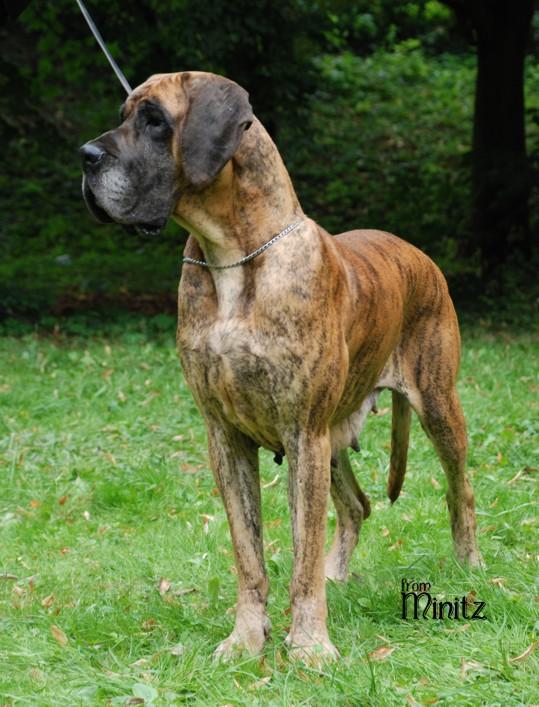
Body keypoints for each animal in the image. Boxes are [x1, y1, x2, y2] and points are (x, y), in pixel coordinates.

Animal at [80, 71, 481, 664]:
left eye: (155, 121)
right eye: (125, 115)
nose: (85, 156)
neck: (232, 257)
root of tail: (417, 252)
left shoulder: (301, 432)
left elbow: (302, 554)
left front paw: (310, 644)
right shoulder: (227, 439)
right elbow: (249, 555)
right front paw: (246, 639)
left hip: (432, 406)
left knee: (460, 490)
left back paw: (471, 565)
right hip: (331, 440)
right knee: (357, 505)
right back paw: (340, 572)